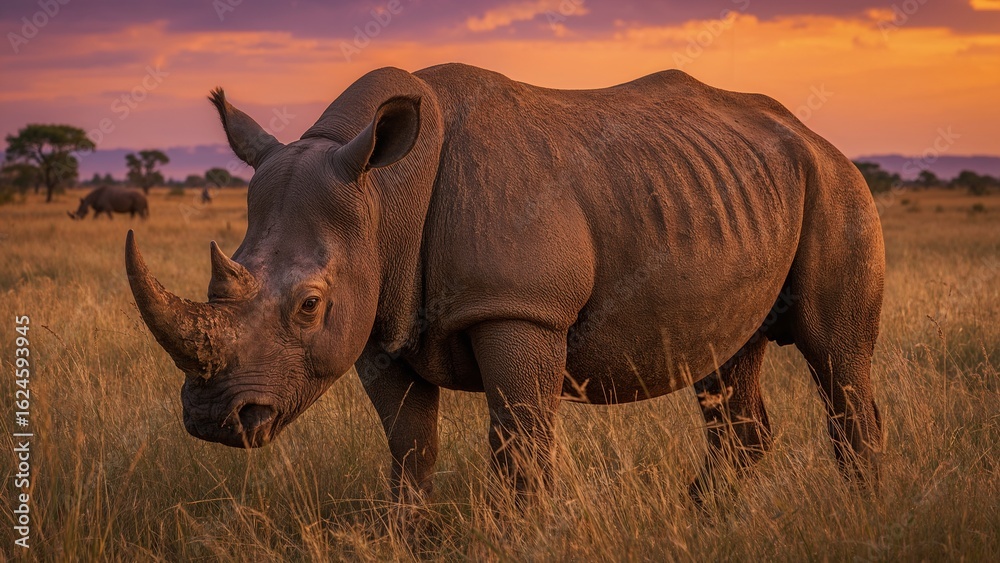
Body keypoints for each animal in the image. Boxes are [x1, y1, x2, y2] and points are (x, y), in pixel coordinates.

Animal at [125, 64, 884, 501]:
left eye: (311, 305)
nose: (214, 420)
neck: (382, 193)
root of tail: (815, 135)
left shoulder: (521, 310)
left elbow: (519, 447)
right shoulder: (380, 320)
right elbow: (410, 450)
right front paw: (409, 536)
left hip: (839, 186)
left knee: (838, 359)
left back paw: (859, 510)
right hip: (733, 192)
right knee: (728, 364)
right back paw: (703, 515)